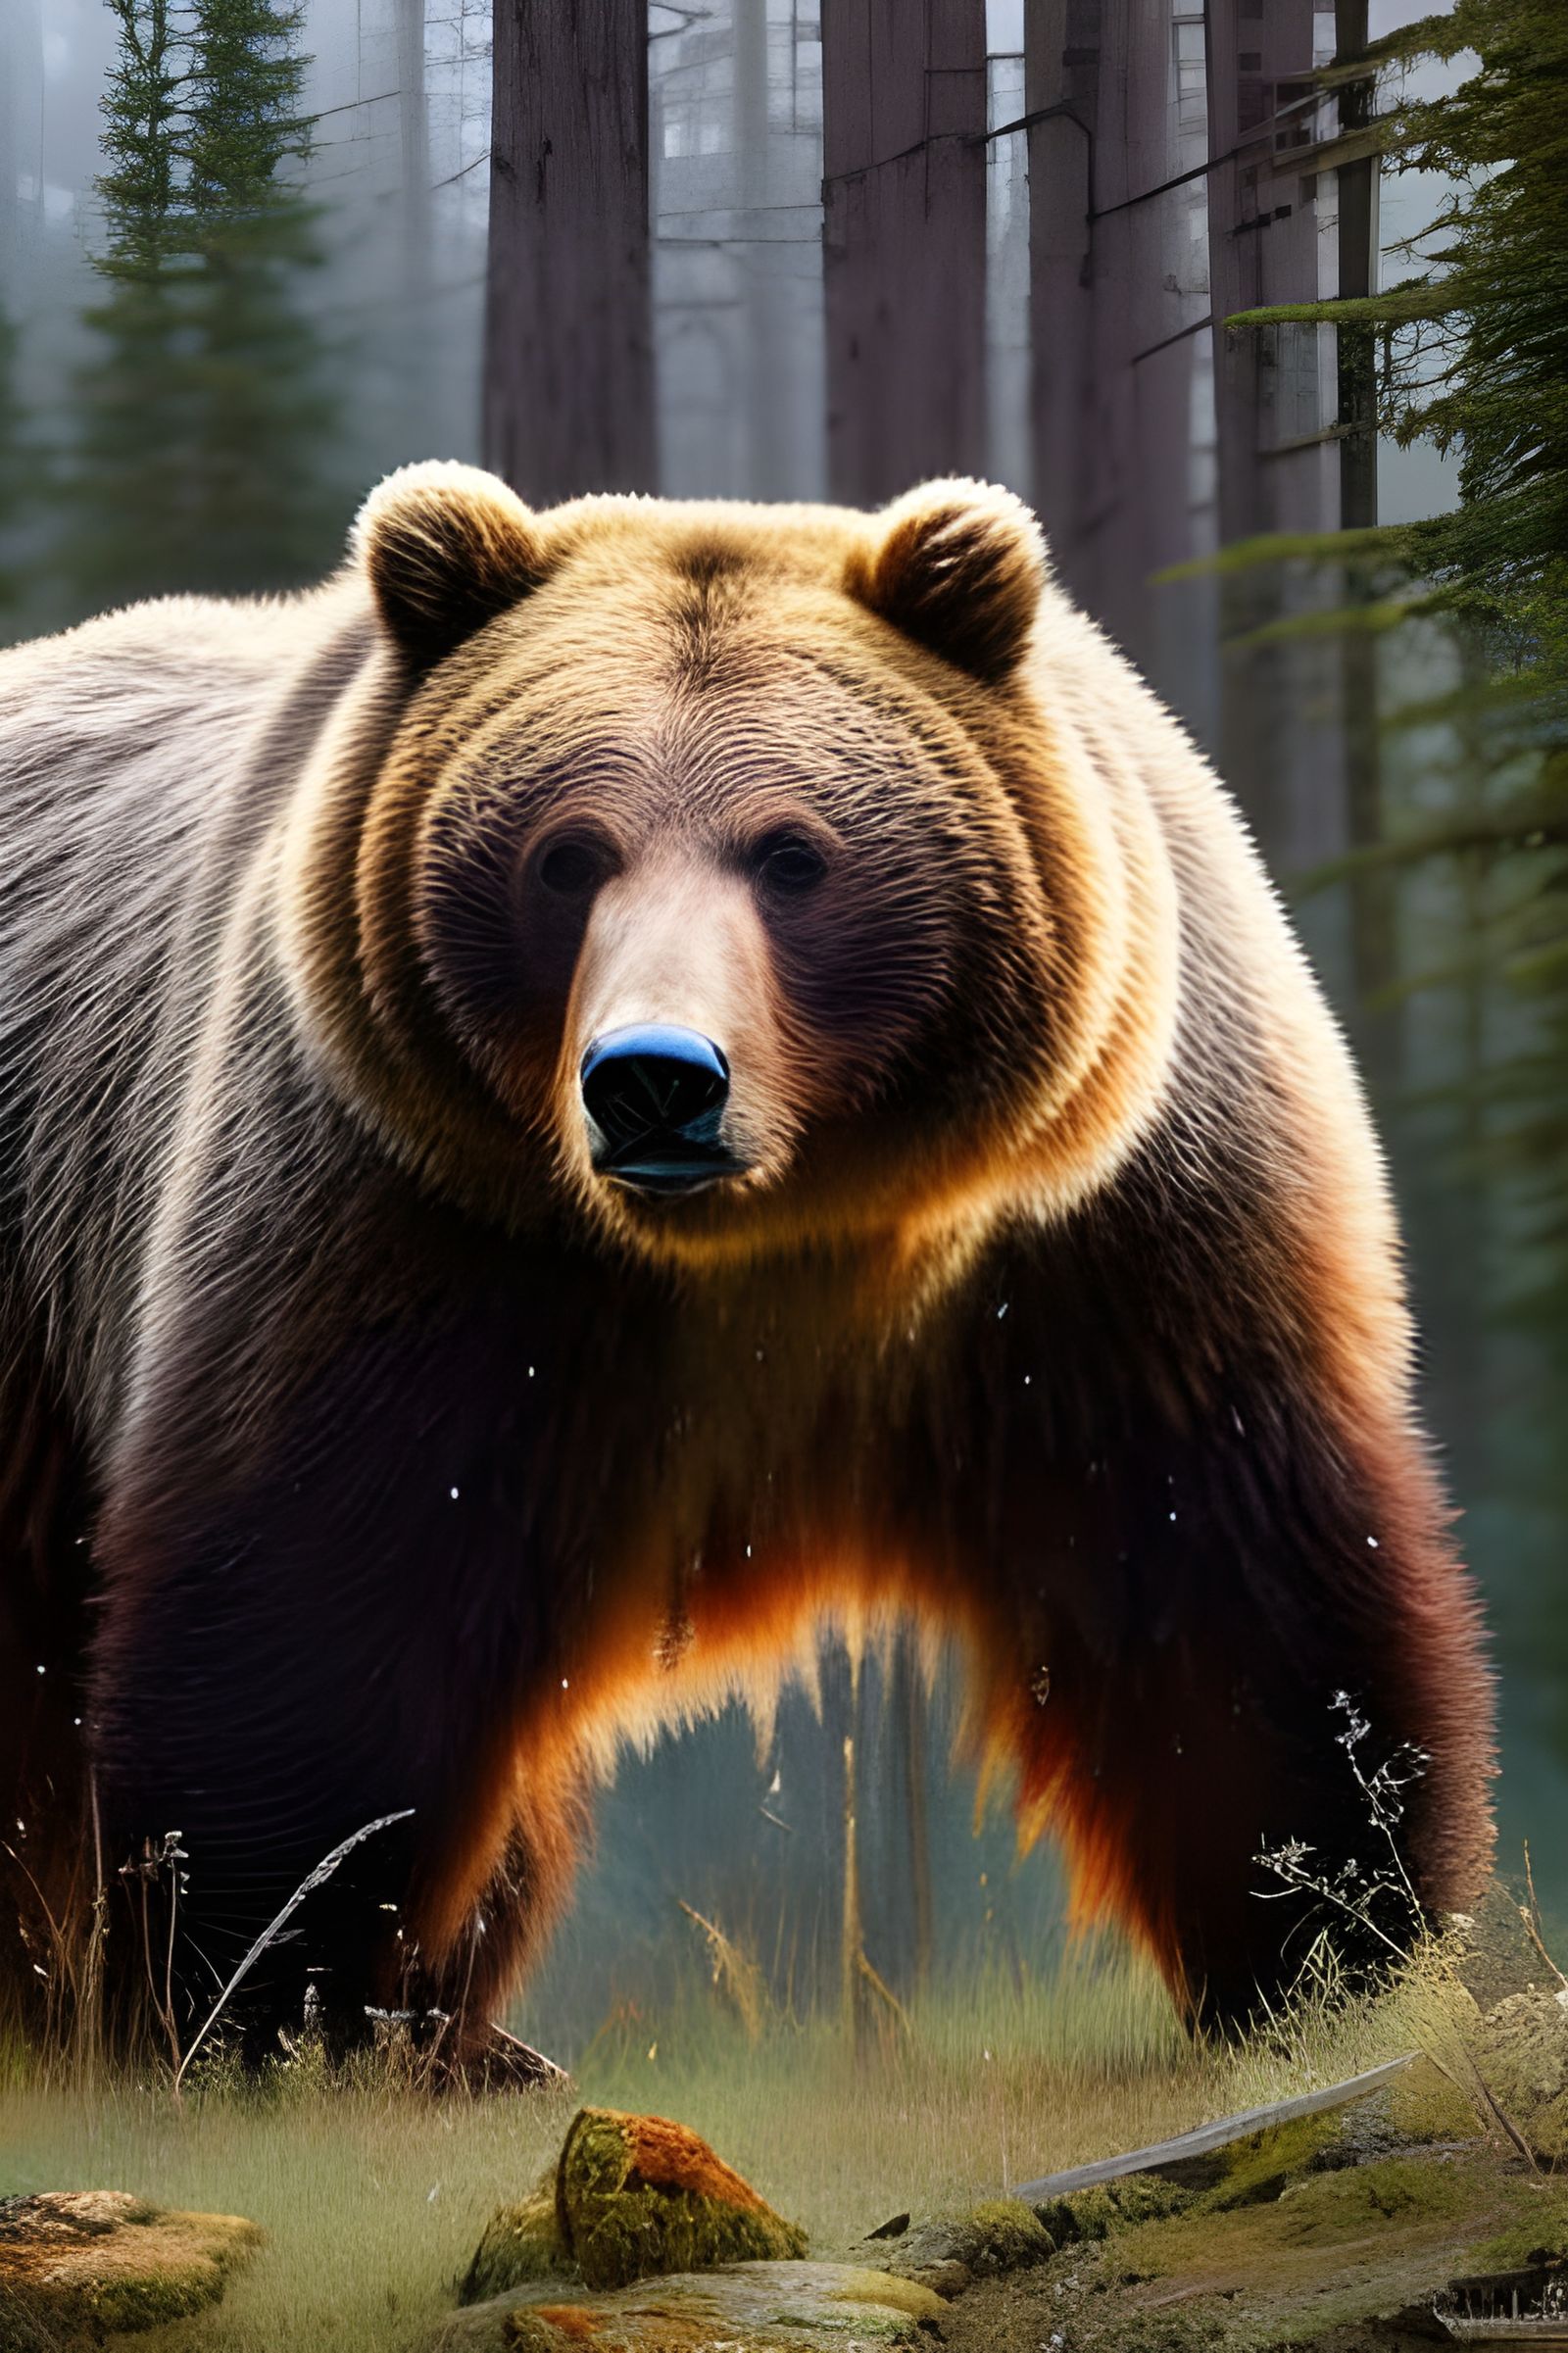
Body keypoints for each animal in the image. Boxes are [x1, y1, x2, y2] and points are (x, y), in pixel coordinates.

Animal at [0, 461, 1493, 2065]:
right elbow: (320, 1597)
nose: (654, 1080)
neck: (776, 1241)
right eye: (565, 853)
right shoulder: (412, 1218)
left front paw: (1329, 1949)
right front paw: (261, 1993)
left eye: (793, 853)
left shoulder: (1100, 1244)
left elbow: (1228, 1575)